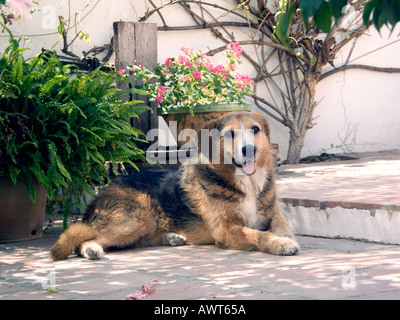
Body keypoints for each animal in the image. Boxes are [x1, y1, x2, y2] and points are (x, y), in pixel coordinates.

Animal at [50, 112, 298, 260]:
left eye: (255, 129)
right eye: (230, 134)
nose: (250, 150)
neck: (247, 182)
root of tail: (100, 195)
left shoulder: (273, 213)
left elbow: (282, 223)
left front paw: (285, 236)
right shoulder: (227, 230)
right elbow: (257, 235)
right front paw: (279, 242)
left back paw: (171, 237)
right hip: (137, 219)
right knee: (83, 240)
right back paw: (91, 249)